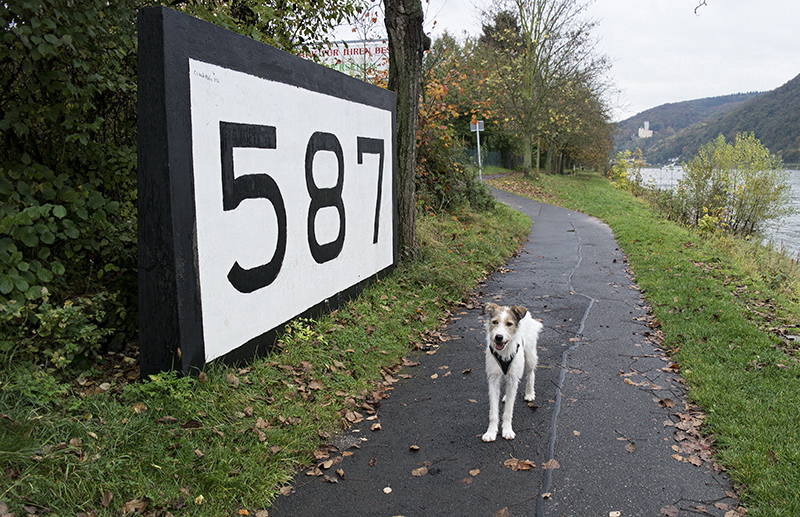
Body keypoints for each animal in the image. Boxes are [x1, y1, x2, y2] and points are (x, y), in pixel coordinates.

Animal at [482, 302, 544, 440]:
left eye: (509, 324)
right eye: (495, 322)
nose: (498, 337)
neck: (504, 352)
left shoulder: (513, 377)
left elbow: (508, 410)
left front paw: (507, 430)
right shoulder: (493, 379)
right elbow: (493, 410)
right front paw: (491, 432)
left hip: (530, 355)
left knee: (530, 374)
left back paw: (529, 393)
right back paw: (506, 396)